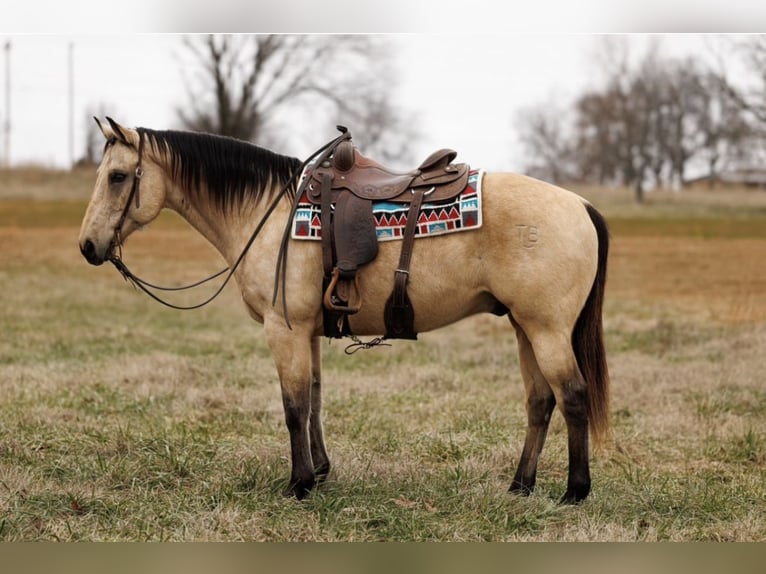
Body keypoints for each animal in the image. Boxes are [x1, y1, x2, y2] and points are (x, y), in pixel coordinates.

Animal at [78, 118, 610, 504]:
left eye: (118, 177)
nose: (87, 246)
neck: (270, 216)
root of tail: (580, 205)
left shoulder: (284, 330)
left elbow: (293, 406)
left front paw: (298, 485)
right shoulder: (307, 331)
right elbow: (314, 399)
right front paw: (319, 473)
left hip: (547, 330)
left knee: (573, 397)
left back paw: (574, 492)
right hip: (525, 327)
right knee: (540, 402)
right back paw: (520, 486)